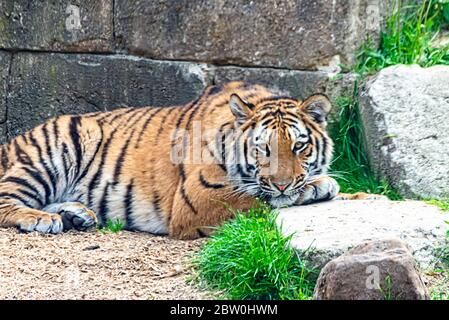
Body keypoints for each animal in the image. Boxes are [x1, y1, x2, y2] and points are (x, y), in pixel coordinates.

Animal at [0, 81, 380, 239]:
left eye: (299, 146)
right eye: (263, 149)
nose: (284, 183)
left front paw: (366, 195)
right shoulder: (198, 199)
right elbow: (259, 198)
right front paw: (320, 185)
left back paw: (77, 215)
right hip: (53, 151)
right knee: (6, 199)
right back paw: (43, 219)